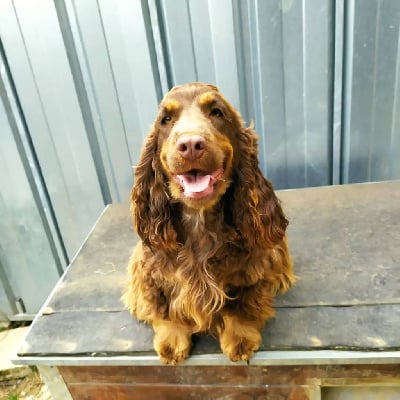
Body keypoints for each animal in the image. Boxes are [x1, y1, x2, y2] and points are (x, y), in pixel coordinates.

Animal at [123, 83, 296, 364]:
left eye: (217, 112)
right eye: (166, 119)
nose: (191, 144)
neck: (199, 220)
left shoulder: (251, 269)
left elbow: (241, 305)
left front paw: (240, 337)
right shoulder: (150, 271)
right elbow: (164, 309)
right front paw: (172, 339)